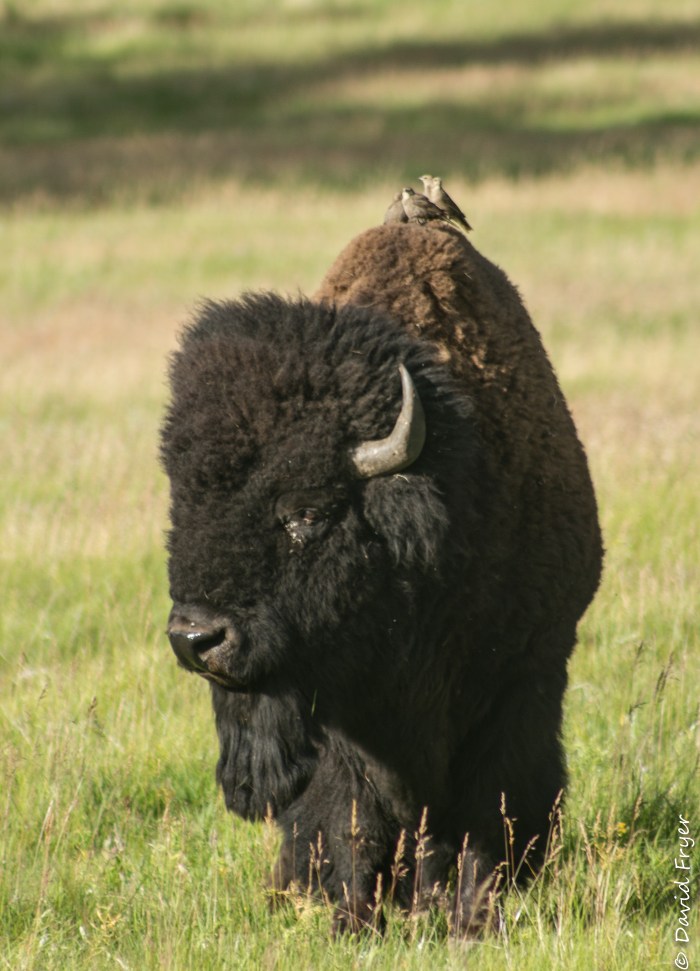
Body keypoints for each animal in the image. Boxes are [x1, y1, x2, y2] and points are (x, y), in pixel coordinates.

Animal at [160, 221, 603, 933]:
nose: (196, 638)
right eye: (184, 502)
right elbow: (351, 816)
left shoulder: (523, 679)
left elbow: (490, 809)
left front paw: (471, 921)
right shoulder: (338, 720)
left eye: (306, 511)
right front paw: (353, 921)